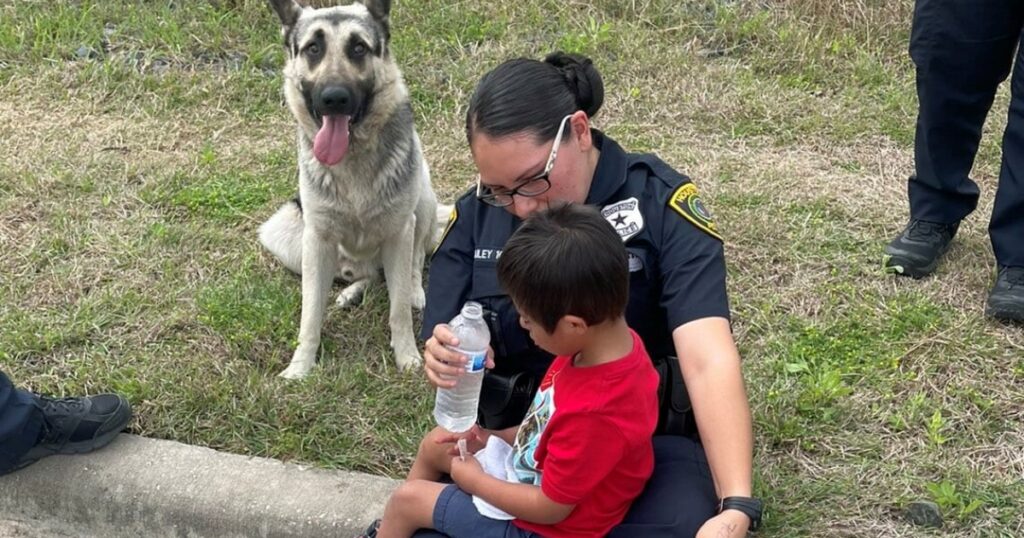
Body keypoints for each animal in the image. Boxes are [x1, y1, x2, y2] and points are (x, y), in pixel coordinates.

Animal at [260, 0, 436, 377]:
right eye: (313, 48)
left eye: (358, 48)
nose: (334, 98)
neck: (352, 157)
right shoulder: (317, 240)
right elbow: (310, 315)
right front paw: (300, 367)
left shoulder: (399, 233)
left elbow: (398, 308)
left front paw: (407, 357)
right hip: (283, 234)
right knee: (368, 276)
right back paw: (350, 291)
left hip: (424, 199)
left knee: (411, 263)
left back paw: (413, 290)